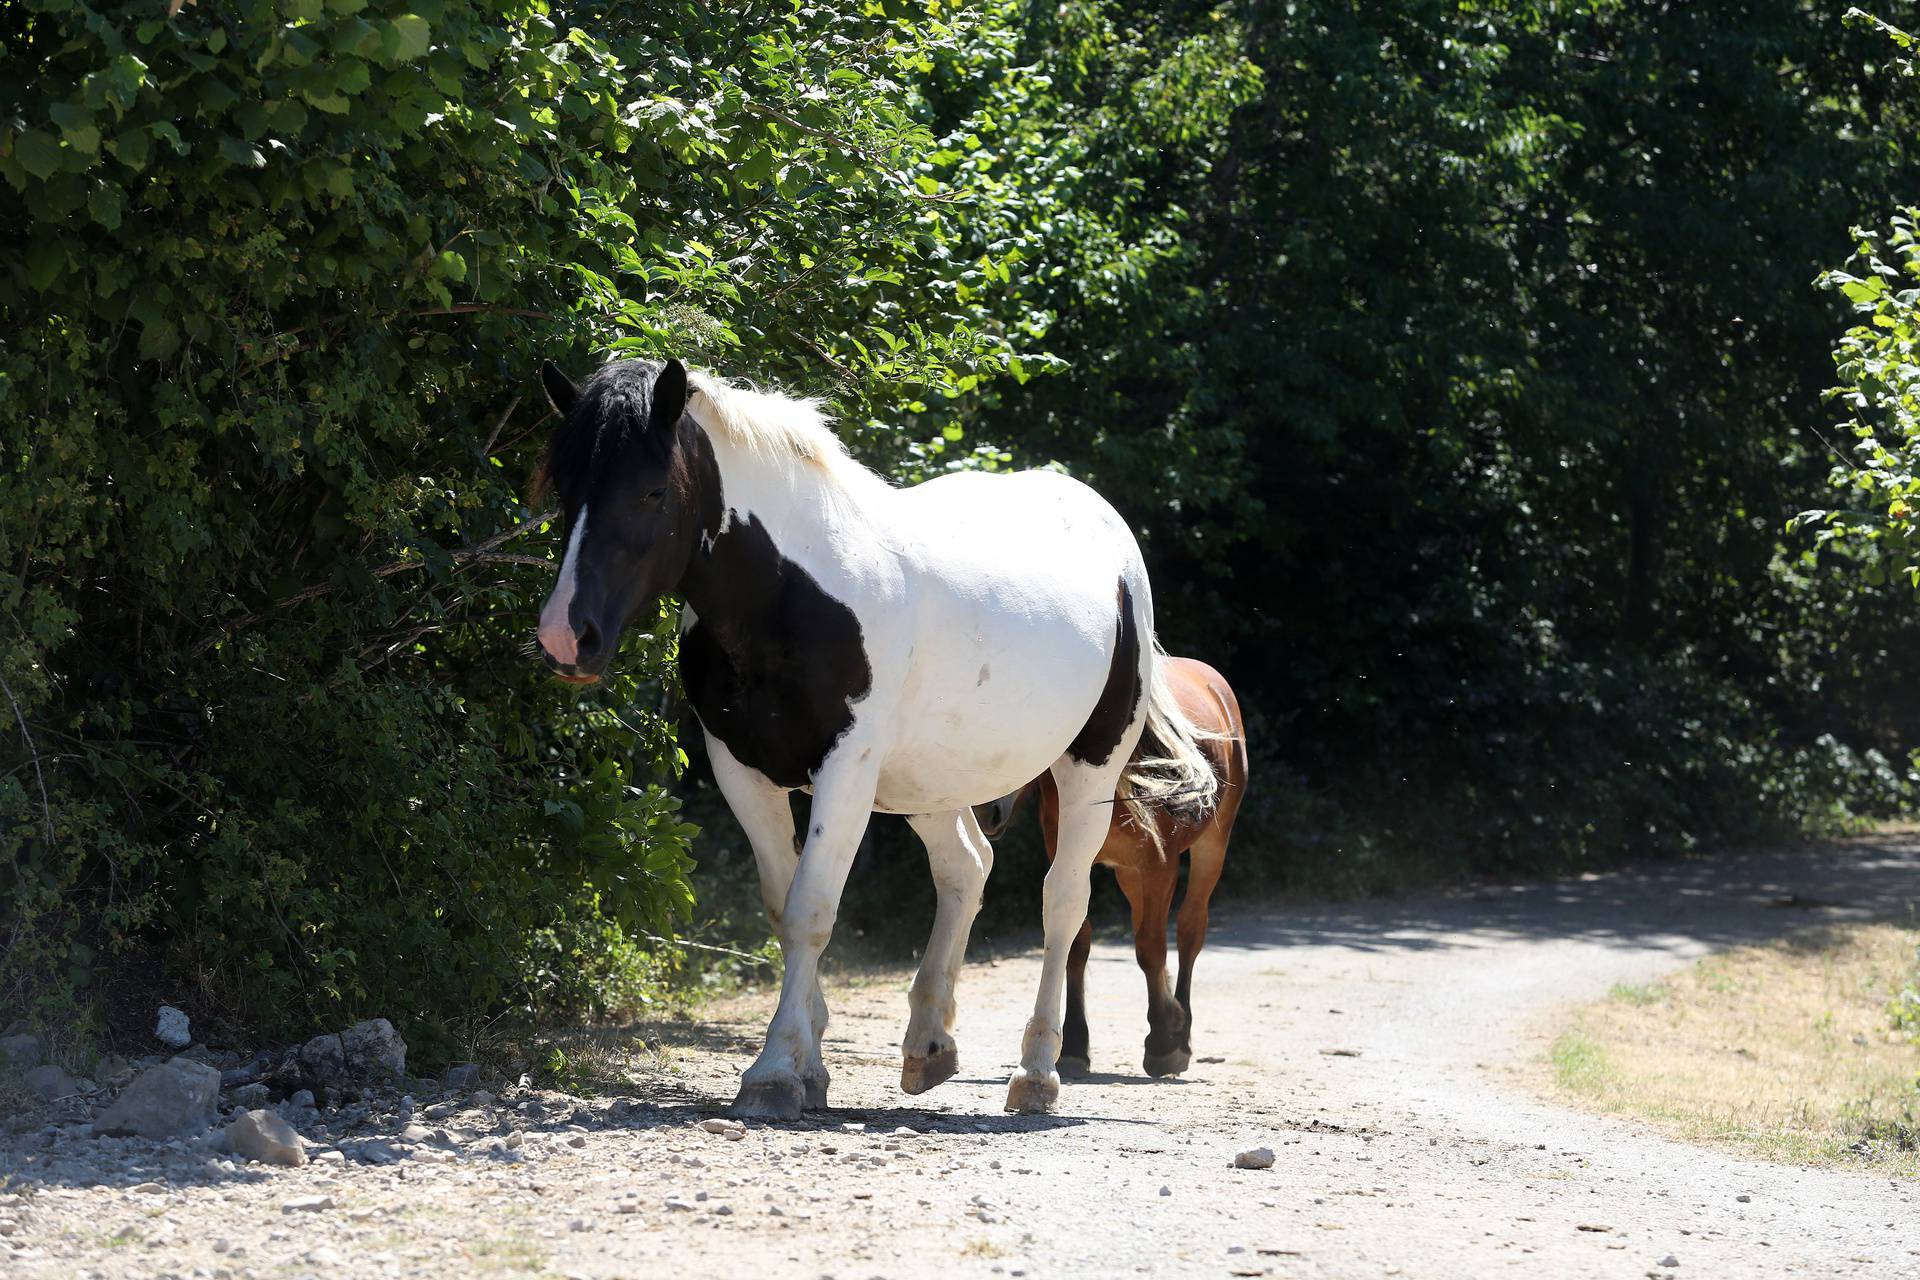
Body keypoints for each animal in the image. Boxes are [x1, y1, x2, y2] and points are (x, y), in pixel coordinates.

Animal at [533, 355, 1213, 1113]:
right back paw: (930, 1045)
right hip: (929, 781)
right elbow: (783, 909)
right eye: (564, 486)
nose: (566, 637)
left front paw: (774, 1072)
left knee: (1063, 903)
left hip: (1088, 768)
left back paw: (1037, 1073)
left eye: (652, 490)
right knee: (966, 867)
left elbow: (812, 909)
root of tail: (1107, 530)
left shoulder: (845, 772)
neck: (791, 592)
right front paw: (809, 1068)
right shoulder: (743, 771)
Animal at [975, 656, 1244, 1074]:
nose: (986, 809)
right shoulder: (1077, 863)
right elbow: (1077, 944)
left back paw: (1181, 1033)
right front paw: (1074, 1045)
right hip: (1129, 875)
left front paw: (1164, 1041)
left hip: (1211, 848)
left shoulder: (1160, 868)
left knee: (1189, 929)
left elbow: (1151, 947)